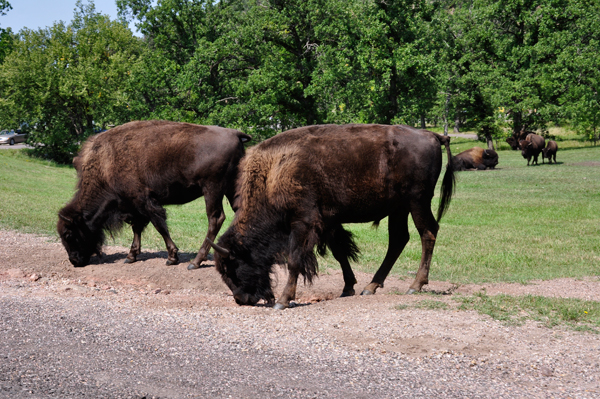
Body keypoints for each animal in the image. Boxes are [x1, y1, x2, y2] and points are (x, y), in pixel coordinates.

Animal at [57, 120, 250, 270]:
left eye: (69, 234)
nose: (74, 261)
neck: (106, 164)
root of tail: (235, 134)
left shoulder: (143, 200)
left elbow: (159, 225)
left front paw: (172, 258)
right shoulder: (134, 205)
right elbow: (137, 227)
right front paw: (131, 256)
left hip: (212, 189)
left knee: (215, 219)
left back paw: (195, 262)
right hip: (232, 188)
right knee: (239, 212)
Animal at [206, 124, 454, 310]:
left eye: (231, 267)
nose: (242, 300)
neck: (273, 172)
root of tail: (431, 135)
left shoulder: (303, 222)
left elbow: (295, 259)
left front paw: (283, 301)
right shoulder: (328, 223)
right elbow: (340, 252)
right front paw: (348, 288)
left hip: (417, 201)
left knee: (428, 233)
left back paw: (415, 285)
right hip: (398, 209)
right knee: (399, 239)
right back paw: (370, 287)